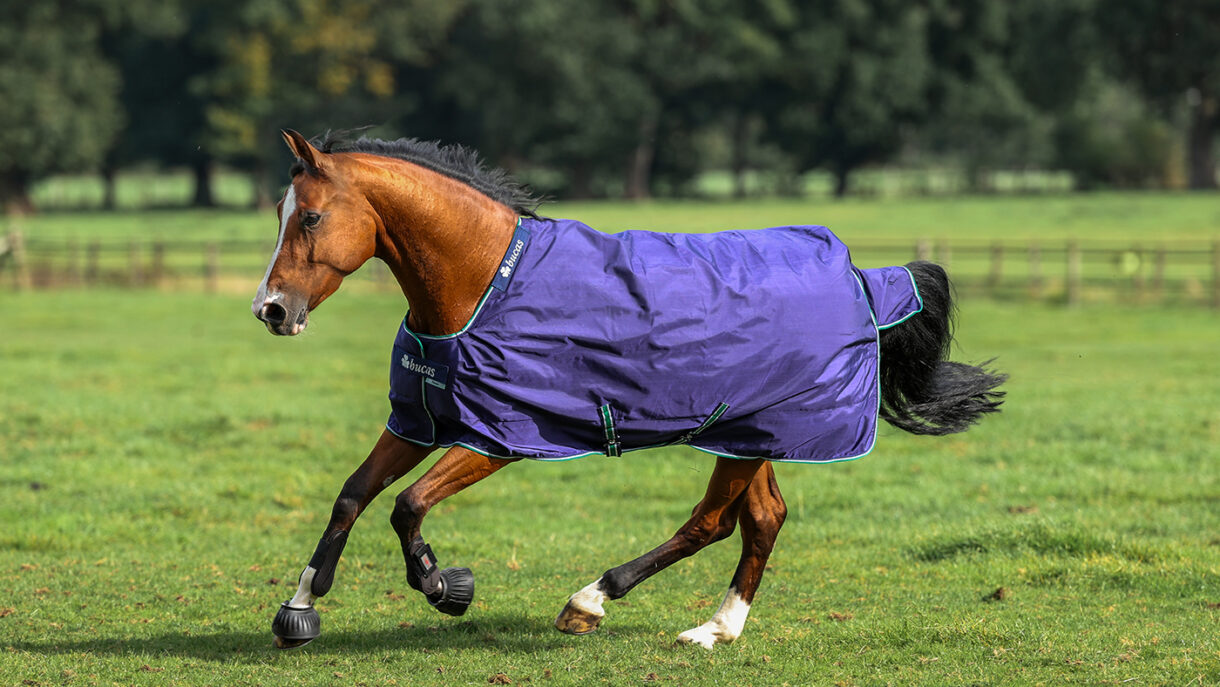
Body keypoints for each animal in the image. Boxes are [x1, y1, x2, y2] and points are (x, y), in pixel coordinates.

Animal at [254, 129, 1006, 650]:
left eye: (310, 218)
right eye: (282, 214)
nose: (271, 310)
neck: (484, 280)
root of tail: (861, 278)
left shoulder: (497, 437)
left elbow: (406, 505)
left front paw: (445, 585)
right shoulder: (418, 422)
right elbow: (353, 494)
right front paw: (300, 608)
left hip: (748, 436)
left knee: (713, 522)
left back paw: (592, 599)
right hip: (750, 433)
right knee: (763, 519)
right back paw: (716, 629)